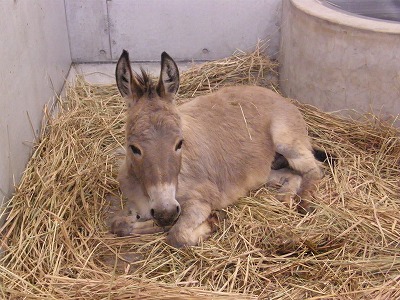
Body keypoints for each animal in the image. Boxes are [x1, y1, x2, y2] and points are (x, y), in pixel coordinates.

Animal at [110, 49, 322, 246]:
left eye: (179, 143)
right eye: (133, 148)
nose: (166, 212)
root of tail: (276, 95)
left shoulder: (200, 199)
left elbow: (178, 235)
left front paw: (211, 222)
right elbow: (118, 224)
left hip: (286, 141)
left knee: (315, 170)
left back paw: (304, 202)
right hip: (260, 172)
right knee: (293, 175)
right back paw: (284, 198)